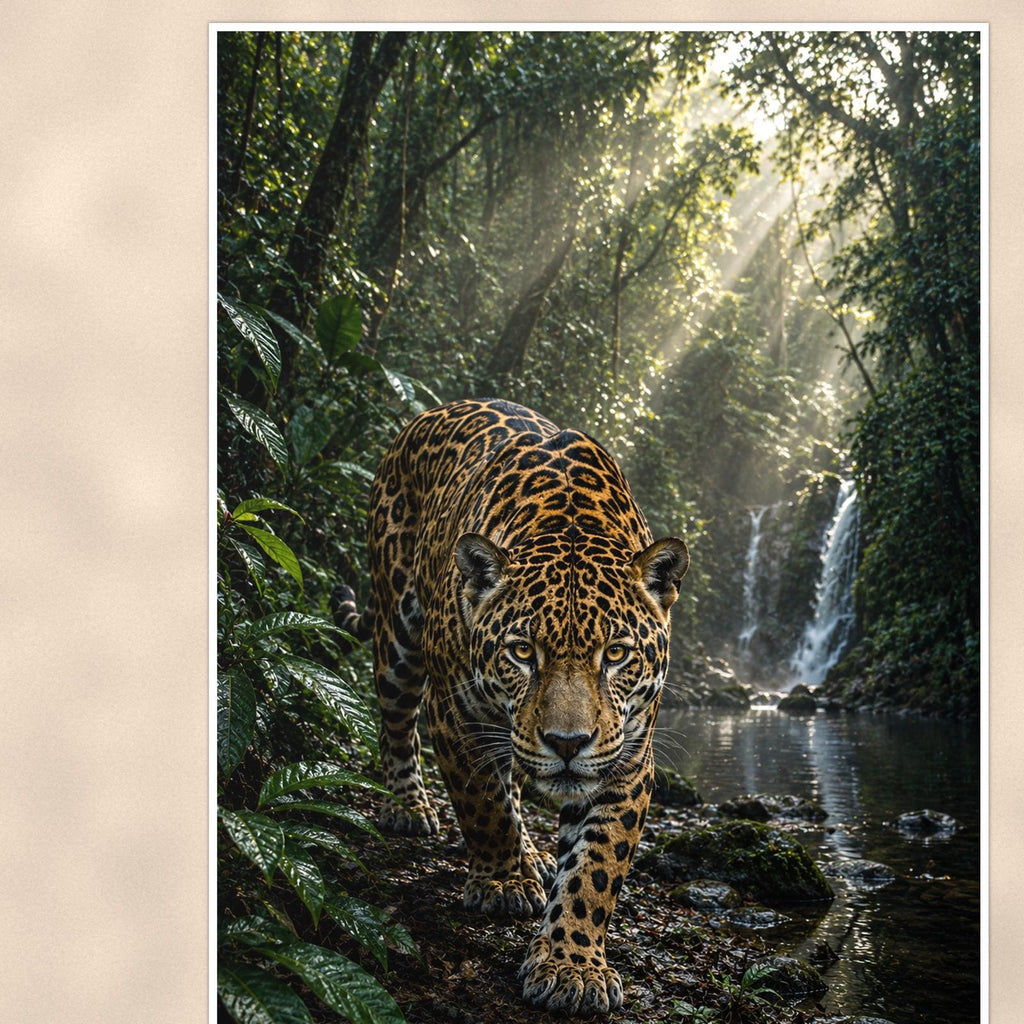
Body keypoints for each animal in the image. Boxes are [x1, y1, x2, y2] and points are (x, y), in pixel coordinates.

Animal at [338, 398, 688, 1016]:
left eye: (616, 654)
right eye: (523, 651)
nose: (568, 744)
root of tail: (426, 415)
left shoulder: (629, 755)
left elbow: (596, 868)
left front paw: (573, 965)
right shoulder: (458, 716)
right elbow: (485, 805)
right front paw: (503, 883)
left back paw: (534, 855)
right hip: (397, 635)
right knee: (397, 723)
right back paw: (410, 806)